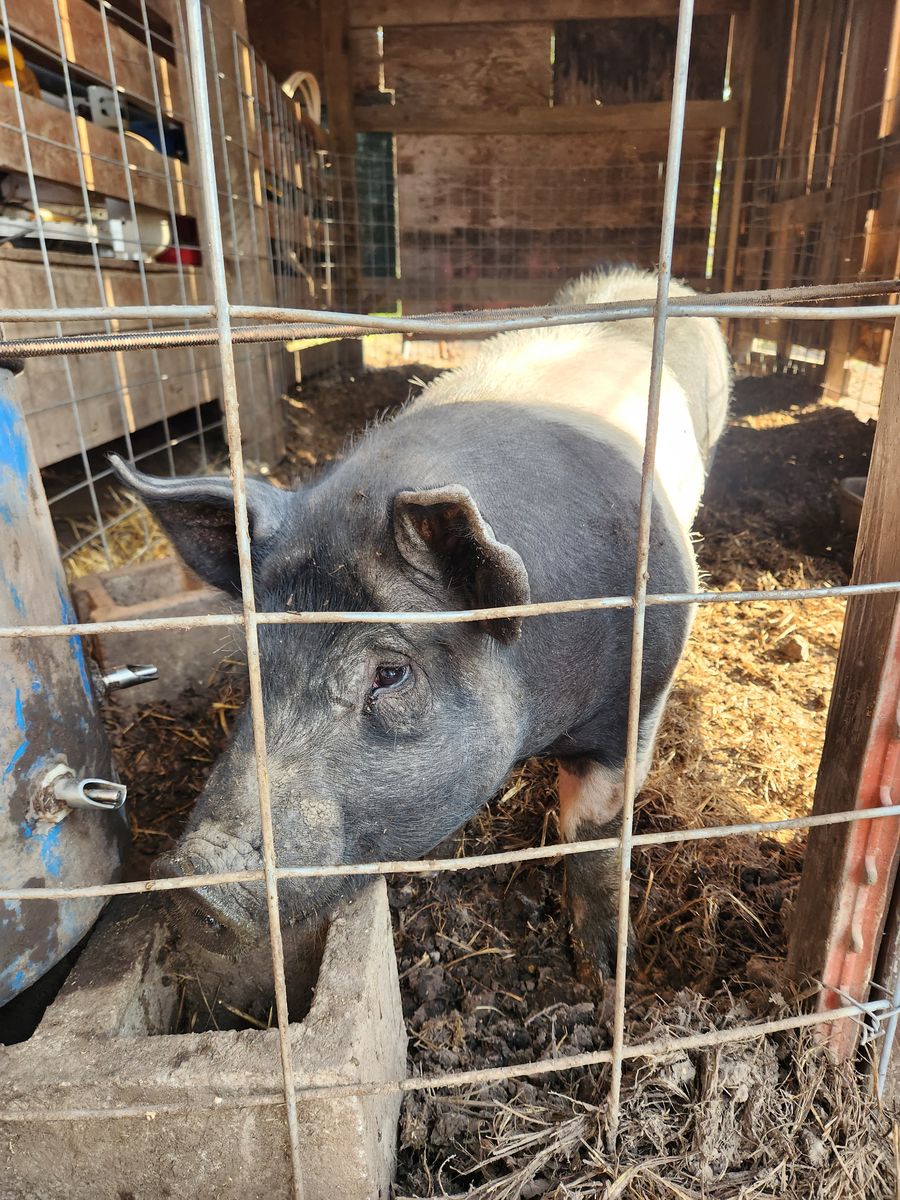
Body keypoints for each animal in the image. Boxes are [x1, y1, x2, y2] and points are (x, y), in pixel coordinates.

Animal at [110, 265, 731, 979]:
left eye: (390, 673)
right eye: (255, 663)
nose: (191, 882)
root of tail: (647, 279)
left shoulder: (639, 692)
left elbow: (595, 837)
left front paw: (601, 968)